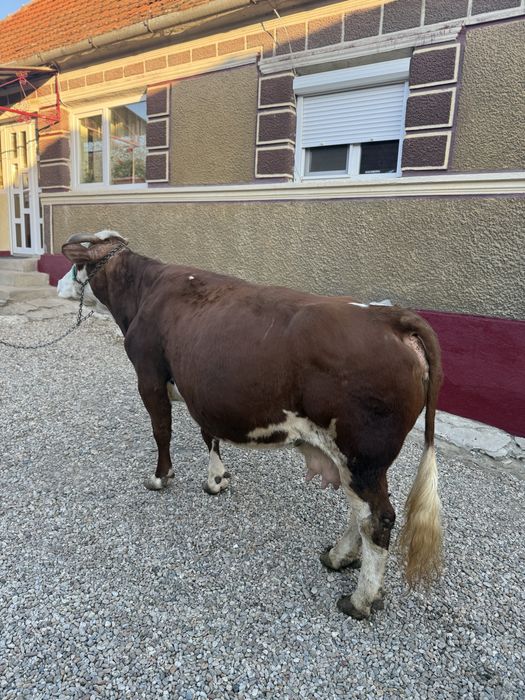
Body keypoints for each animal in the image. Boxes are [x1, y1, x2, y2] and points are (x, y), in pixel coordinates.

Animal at [62, 230, 444, 620]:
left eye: (77, 263)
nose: (61, 283)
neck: (143, 290)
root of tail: (392, 317)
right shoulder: (203, 392)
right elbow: (208, 434)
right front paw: (217, 479)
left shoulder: (149, 376)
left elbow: (161, 430)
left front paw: (160, 477)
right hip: (361, 462)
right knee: (361, 513)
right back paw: (339, 557)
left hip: (361, 454)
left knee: (377, 518)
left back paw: (359, 599)